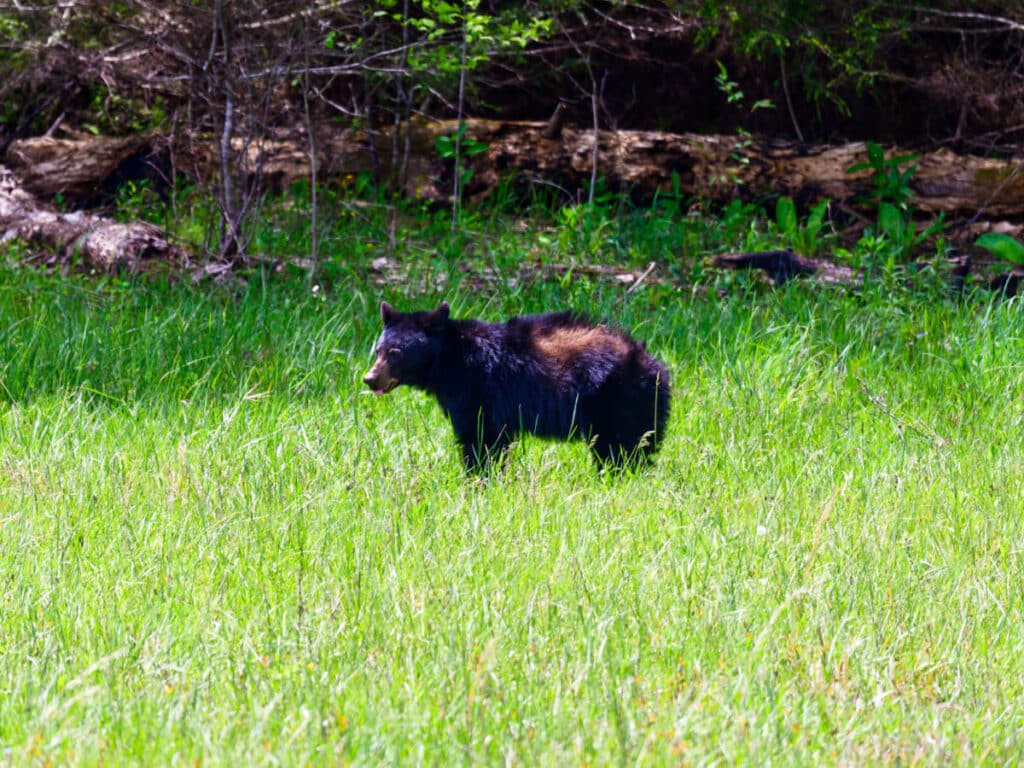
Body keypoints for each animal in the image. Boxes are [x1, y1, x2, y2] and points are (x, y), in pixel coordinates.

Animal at [363, 301, 671, 471]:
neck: (450, 358)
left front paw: (480, 477)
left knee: (622, 448)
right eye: (378, 349)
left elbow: (481, 437)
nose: (369, 378)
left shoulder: (479, 389)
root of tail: (654, 364)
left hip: (616, 400)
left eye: (396, 353)